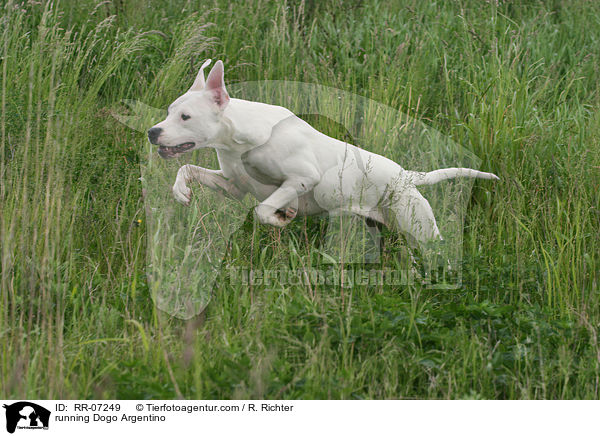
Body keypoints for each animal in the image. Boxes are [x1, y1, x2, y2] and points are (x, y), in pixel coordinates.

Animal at [148, 58, 500, 245]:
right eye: (169, 111)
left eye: (185, 117)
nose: (153, 132)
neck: (242, 140)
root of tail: (407, 176)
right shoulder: (233, 185)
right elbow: (187, 169)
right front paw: (180, 192)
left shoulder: (303, 178)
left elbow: (263, 209)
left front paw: (281, 217)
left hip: (420, 228)